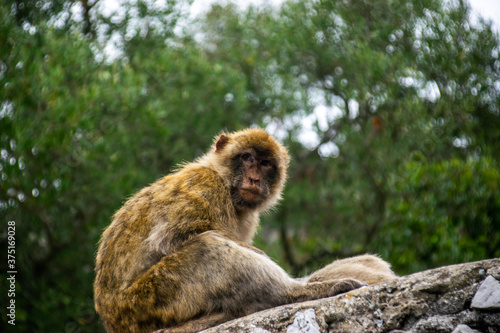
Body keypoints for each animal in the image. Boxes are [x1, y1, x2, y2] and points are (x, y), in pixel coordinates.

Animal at [93, 127, 394, 332]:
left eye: (265, 163)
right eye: (247, 157)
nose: (254, 178)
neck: (225, 184)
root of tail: (113, 321)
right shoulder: (204, 185)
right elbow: (171, 240)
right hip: (152, 301)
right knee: (208, 248)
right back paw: (298, 292)